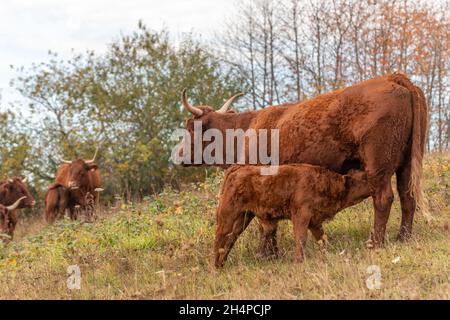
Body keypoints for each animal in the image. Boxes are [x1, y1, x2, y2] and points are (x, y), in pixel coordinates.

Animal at [178, 74, 428, 249]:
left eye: (190, 128)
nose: (179, 154)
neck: (246, 128)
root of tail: (391, 77)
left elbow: (265, 224)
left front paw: (267, 254)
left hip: (378, 165)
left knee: (383, 198)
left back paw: (375, 242)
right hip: (407, 163)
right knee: (407, 197)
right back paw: (403, 237)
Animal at [214, 165, 370, 268]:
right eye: (363, 179)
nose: (372, 182)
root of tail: (236, 169)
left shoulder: (314, 222)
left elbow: (322, 238)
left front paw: (327, 253)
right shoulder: (301, 215)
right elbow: (301, 238)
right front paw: (299, 261)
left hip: (243, 218)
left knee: (230, 239)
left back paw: (221, 264)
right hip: (228, 216)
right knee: (220, 238)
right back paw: (214, 268)